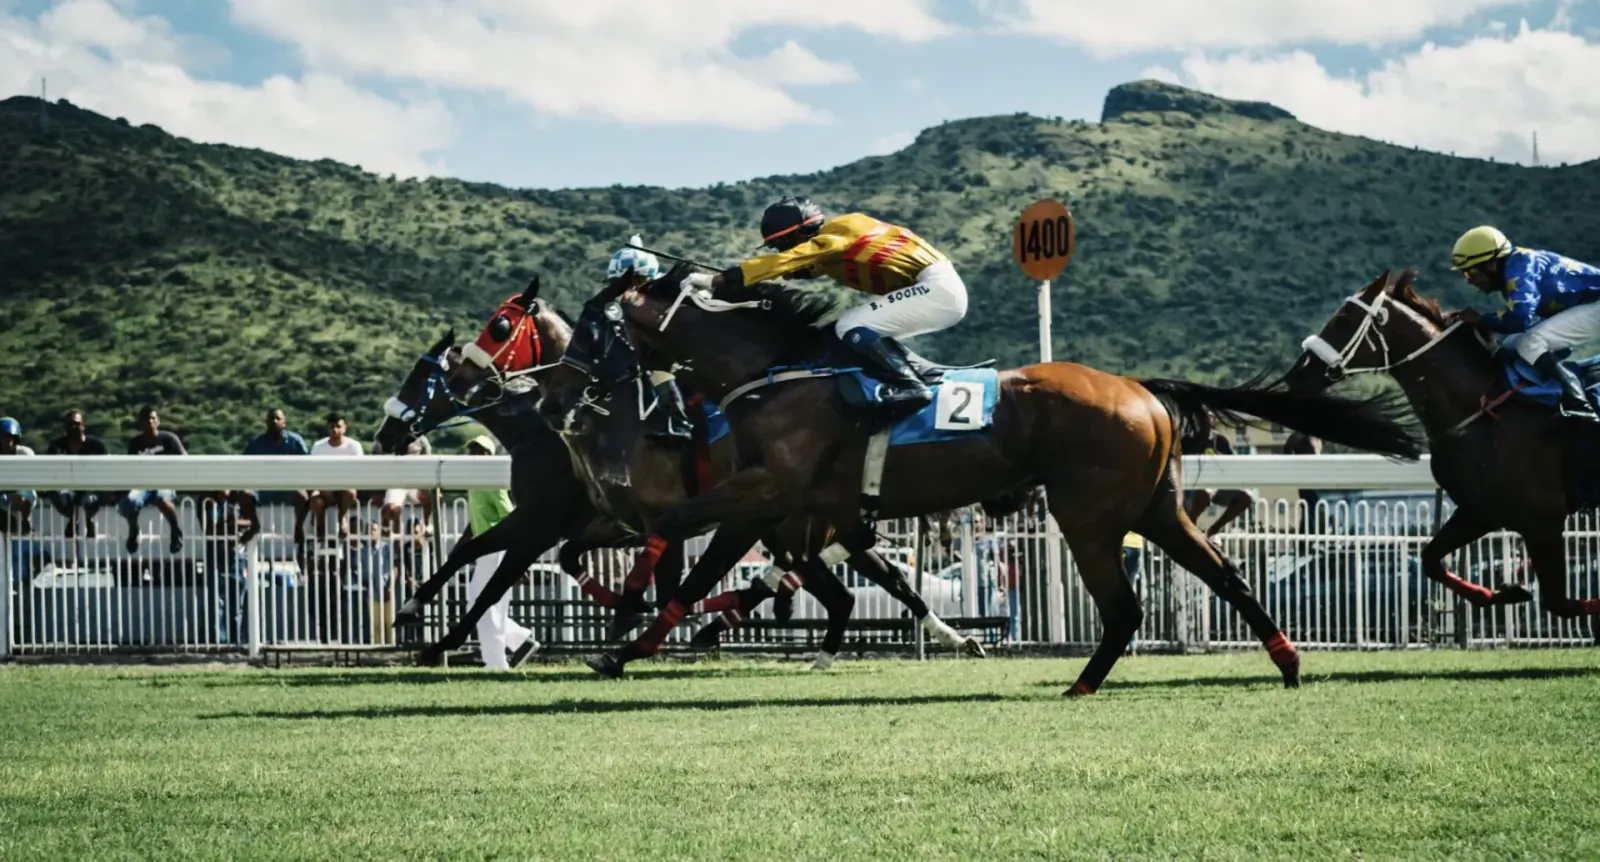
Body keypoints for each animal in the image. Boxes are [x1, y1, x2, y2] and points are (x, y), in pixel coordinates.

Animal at [536, 260, 1426, 692]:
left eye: (593, 328)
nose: (563, 393)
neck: (777, 370)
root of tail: (1141, 390)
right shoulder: (780, 506)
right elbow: (704, 568)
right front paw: (625, 644)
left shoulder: (768, 494)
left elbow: (669, 535)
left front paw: (618, 620)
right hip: (1157, 508)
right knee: (1226, 577)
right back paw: (1287, 662)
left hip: (1088, 513)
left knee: (1126, 606)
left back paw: (1083, 685)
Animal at [1283, 269, 1600, 633]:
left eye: (1344, 318)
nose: (1298, 371)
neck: (1482, 412)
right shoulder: (1480, 511)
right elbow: (1430, 560)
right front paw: (1503, 593)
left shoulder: (1542, 520)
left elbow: (1560, 602)